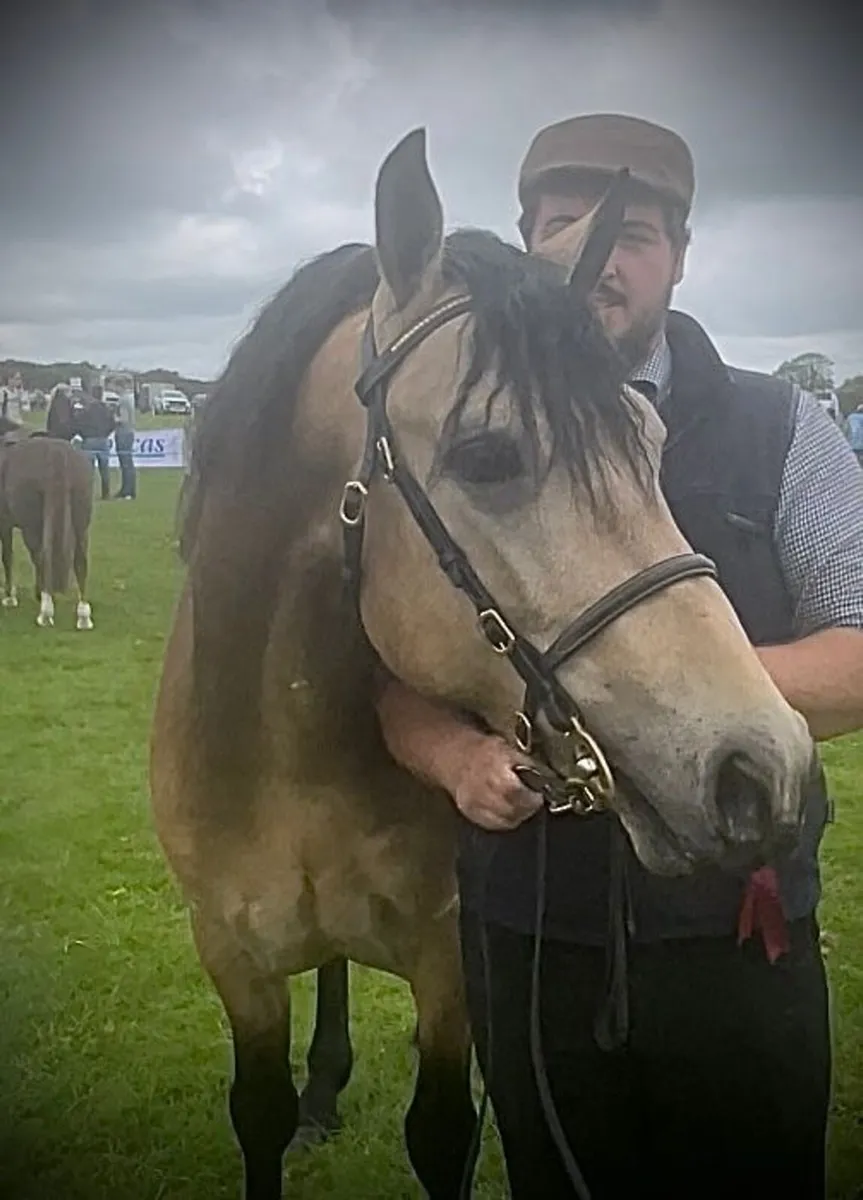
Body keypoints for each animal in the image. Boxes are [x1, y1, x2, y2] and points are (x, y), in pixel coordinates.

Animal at [0, 425, 95, 629]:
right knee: (80, 562)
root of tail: (55, 452)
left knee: (42, 557)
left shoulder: (4, 525)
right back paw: (83, 616)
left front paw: (10, 598)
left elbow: (7, 557)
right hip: (80, 522)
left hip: (32, 526)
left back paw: (45, 612)